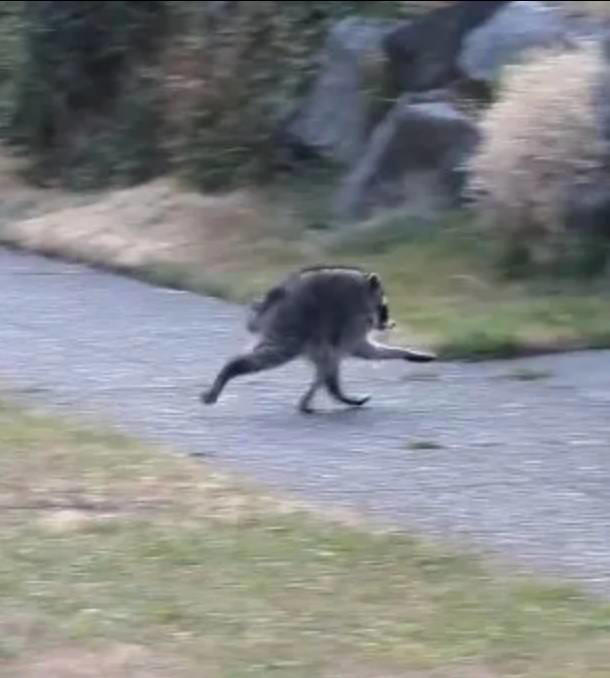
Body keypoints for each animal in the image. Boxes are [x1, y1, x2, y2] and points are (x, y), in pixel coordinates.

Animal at [201, 265, 436, 413]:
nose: (391, 323)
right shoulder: (353, 317)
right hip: (292, 324)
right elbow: (361, 349)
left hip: (298, 329)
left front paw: (408, 352)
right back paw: (229, 370)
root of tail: (274, 296)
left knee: (323, 358)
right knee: (276, 355)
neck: (363, 290)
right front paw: (402, 351)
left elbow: (342, 356)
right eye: (384, 308)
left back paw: (328, 394)